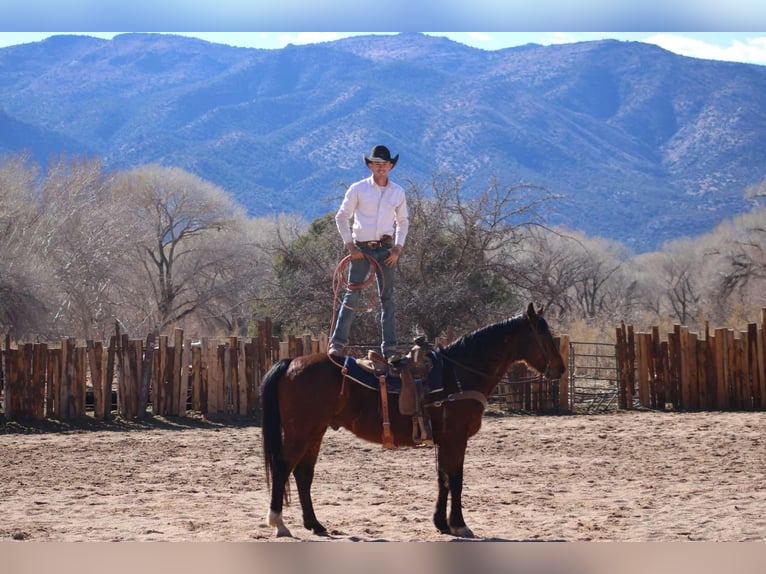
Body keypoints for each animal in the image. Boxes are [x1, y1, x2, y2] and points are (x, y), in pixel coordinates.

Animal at [260, 306, 568, 540]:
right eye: (542, 333)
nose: (560, 368)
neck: (458, 372)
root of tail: (291, 362)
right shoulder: (457, 437)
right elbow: (456, 479)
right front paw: (460, 525)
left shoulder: (445, 439)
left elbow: (443, 478)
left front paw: (441, 523)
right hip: (301, 431)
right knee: (283, 468)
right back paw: (279, 523)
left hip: (315, 431)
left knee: (303, 473)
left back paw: (315, 524)